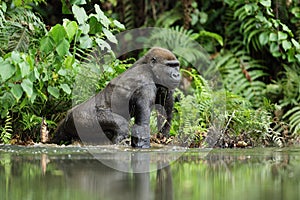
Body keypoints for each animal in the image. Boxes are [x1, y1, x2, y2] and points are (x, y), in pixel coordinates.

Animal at [52, 46, 180, 148]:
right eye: (169, 65)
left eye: (176, 66)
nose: (177, 74)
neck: (149, 67)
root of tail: (67, 116)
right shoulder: (145, 85)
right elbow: (142, 126)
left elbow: (166, 113)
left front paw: (164, 135)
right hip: (80, 118)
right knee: (122, 126)